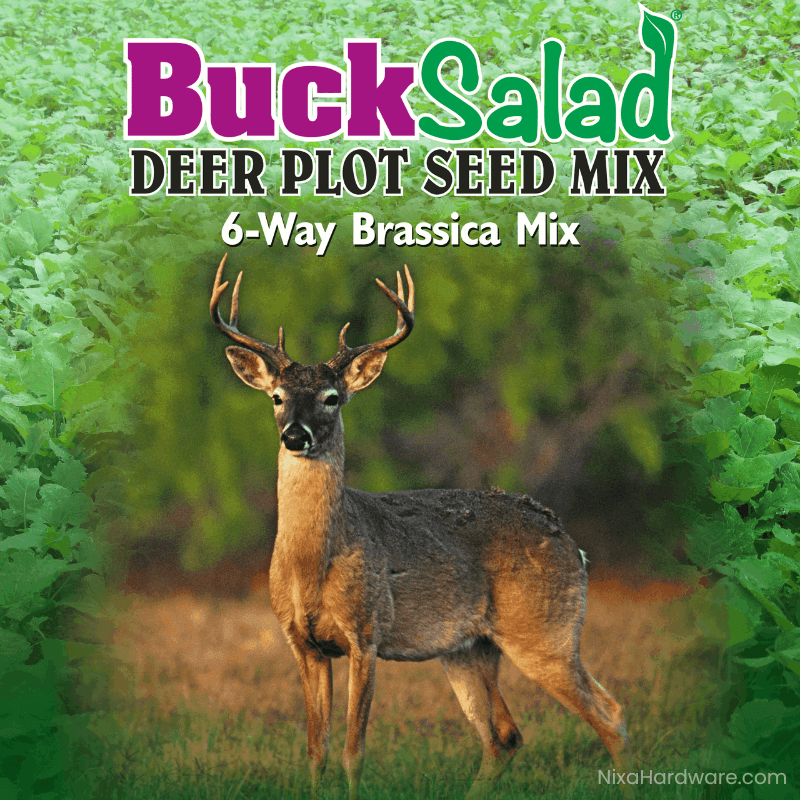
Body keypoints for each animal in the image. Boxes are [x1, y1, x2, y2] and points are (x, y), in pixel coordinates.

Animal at [209, 254, 630, 800]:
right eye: (277, 397)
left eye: (332, 398)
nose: (295, 436)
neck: (310, 565)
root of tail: (573, 545)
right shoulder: (302, 643)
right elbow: (315, 753)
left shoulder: (365, 633)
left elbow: (352, 752)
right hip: (468, 648)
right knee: (504, 736)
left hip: (547, 630)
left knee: (610, 715)